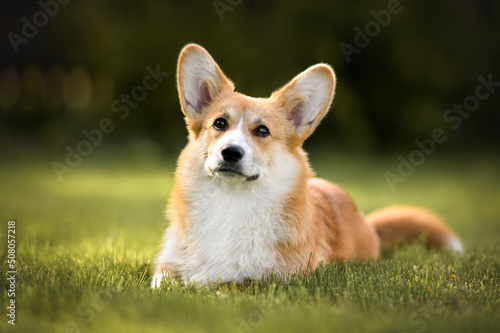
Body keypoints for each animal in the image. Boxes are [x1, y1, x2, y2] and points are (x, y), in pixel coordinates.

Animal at [150, 44, 462, 286]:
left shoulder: (278, 280)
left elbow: (230, 285)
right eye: (219, 124)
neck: (232, 202)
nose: (231, 153)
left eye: (262, 131)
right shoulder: (166, 267)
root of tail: (366, 221)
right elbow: (163, 284)